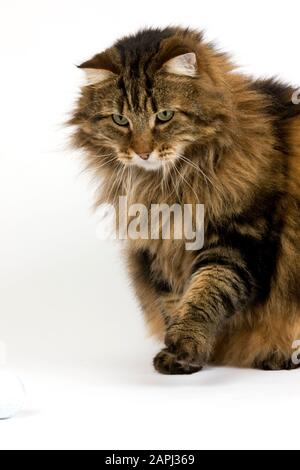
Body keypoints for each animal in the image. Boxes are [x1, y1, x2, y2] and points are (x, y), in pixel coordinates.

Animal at [69, 27, 300, 374]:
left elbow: (205, 296)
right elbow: (173, 302)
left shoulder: (238, 239)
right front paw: (180, 358)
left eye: (164, 116)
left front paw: (184, 345)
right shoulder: (158, 249)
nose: (142, 152)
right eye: (120, 120)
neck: (167, 186)